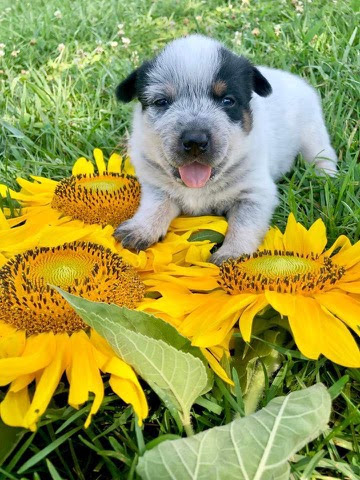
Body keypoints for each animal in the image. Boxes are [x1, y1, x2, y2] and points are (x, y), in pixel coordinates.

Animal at [114, 35, 338, 264]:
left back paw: (325, 177)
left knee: (323, 155)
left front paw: (233, 254)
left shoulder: (255, 193)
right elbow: (155, 205)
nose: (195, 140)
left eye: (227, 100)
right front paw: (141, 229)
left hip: (313, 133)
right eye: (161, 102)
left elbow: (244, 224)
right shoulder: (155, 184)